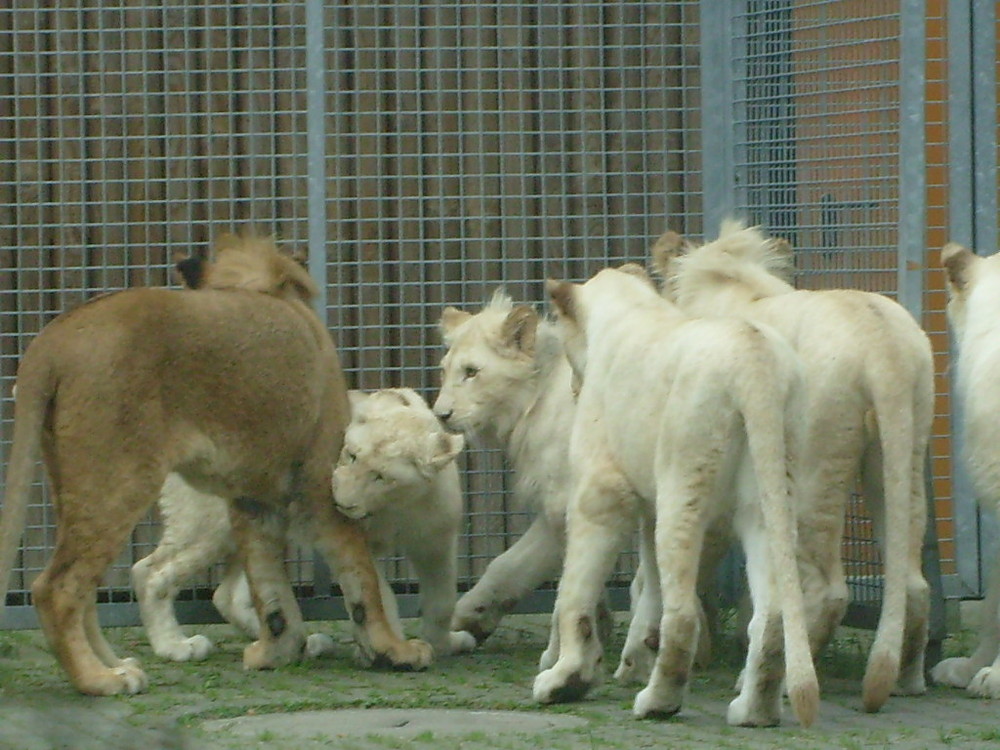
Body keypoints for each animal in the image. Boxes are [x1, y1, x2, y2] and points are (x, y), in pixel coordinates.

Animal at [0, 236, 430, 700]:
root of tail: (52, 339)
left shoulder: (253, 500)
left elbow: (268, 588)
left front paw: (276, 651)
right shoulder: (321, 482)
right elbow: (362, 582)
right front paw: (394, 651)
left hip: (73, 482)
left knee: (85, 589)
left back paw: (115, 665)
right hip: (117, 483)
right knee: (56, 589)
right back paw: (98, 680)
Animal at [132, 390, 472, 660]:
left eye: (381, 476)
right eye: (350, 456)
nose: (341, 502)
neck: (397, 508)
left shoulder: (437, 541)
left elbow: (443, 601)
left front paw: (447, 644)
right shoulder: (360, 545)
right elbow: (378, 597)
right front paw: (393, 650)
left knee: (227, 595)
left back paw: (302, 644)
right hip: (210, 527)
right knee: (149, 572)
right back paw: (176, 647)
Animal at [536, 266, 816, 728]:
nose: (575, 386)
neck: (630, 308)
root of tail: (755, 362)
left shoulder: (601, 492)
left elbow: (572, 594)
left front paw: (566, 680)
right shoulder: (647, 505)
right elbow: (649, 584)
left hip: (684, 481)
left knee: (683, 615)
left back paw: (658, 702)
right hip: (770, 495)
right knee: (772, 613)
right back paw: (753, 712)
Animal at [636, 223, 932, 716]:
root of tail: (882, 344)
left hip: (815, 462)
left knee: (829, 591)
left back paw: (780, 682)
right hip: (901, 453)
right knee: (913, 583)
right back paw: (906, 680)